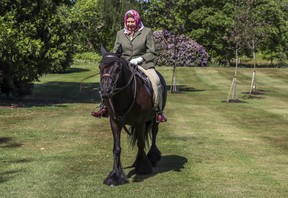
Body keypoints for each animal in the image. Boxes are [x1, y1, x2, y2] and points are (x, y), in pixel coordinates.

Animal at [98, 46, 166, 186]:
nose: (105, 91)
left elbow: (141, 144)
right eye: (100, 66)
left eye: (118, 68)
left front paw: (143, 167)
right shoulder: (114, 122)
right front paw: (116, 175)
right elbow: (117, 148)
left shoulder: (140, 123)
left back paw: (152, 157)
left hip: (154, 119)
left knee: (154, 134)